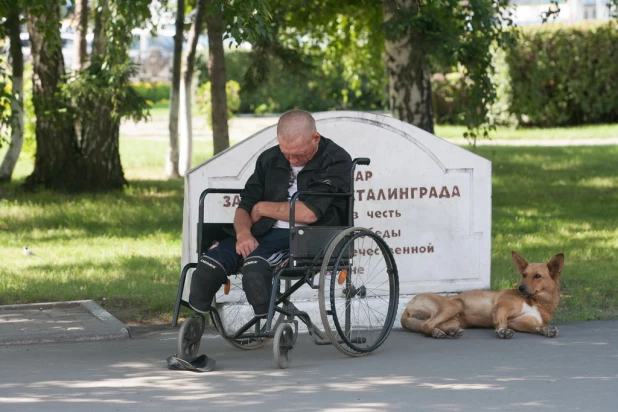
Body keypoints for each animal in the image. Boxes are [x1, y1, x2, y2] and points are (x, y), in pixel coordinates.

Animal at [400, 253, 564, 340]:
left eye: (537, 276)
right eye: (524, 275)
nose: (521, 288)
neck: (536, 301)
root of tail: (409, 304)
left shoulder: (520, 322)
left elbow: (536, 327)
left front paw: (547, 330)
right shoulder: (501, 308)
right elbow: (501, 323)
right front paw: (502, 331)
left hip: (455, 320)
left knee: (429, 326)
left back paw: (448, 332)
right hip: (453, 305)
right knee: (426, 325)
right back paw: (439, 333)